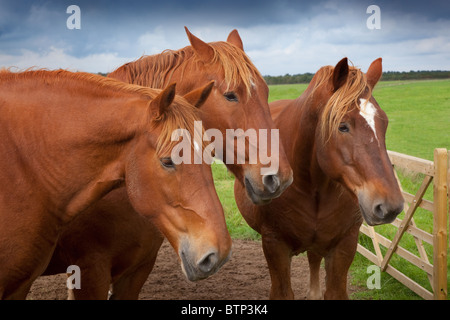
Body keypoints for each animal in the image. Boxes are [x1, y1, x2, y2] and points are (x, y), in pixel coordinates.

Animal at [236, 58, 404, 300]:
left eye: (384, 123)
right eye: (342, 126)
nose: (390, 206)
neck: (312, 187)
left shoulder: (345, 244)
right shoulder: (274, 244)